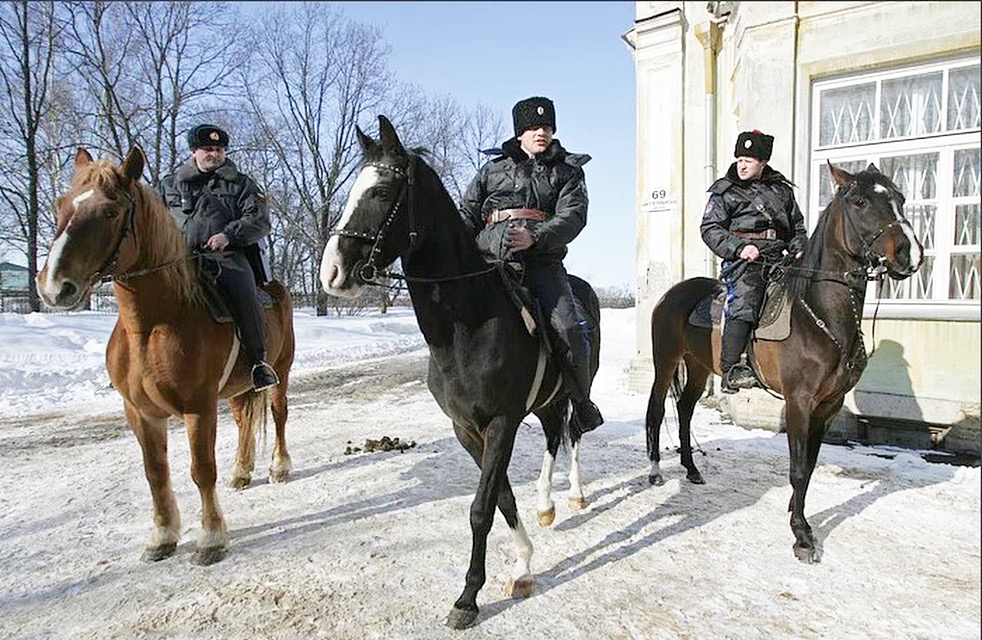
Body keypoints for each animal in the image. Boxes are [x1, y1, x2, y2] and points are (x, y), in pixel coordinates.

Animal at [36, 146, 296, 564]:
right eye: (62, 204)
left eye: (110, 212)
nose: (54, 287)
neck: (151, 326)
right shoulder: (141, 413)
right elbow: (155, 472)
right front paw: (161, 537)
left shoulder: (199, 407)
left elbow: (201, 469)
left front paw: (211, 538)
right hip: (238, 387)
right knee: (244, 421)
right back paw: (242, 471)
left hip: (280, 371)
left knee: (278, 413)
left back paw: (278, 467)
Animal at [320, 116, 604, 632]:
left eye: (383, 190)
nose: (332, 272)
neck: (467, 327)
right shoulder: (467, 429)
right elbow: (502, 499)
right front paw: (523, 565)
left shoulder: (501, 424)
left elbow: (480, 509)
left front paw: (469, 598)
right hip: (546, 400)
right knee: (554, 433)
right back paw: (546, 505)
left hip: (577, 387)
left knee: (574, 431)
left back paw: (572, 495)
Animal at [644, 162, 924, 564]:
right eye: (859, 201)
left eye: (900, 198)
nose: (909, 253)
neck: (819, 315)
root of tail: (671, 293)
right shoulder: (799, 402)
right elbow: (796, 468)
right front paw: (802, 536)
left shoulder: (828, 406)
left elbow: (808, 466)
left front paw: (798, 514)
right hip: (665, 362)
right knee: (656, 410)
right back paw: (654, 471)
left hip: (697, 367)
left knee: (684, 410)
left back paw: (692, 469)